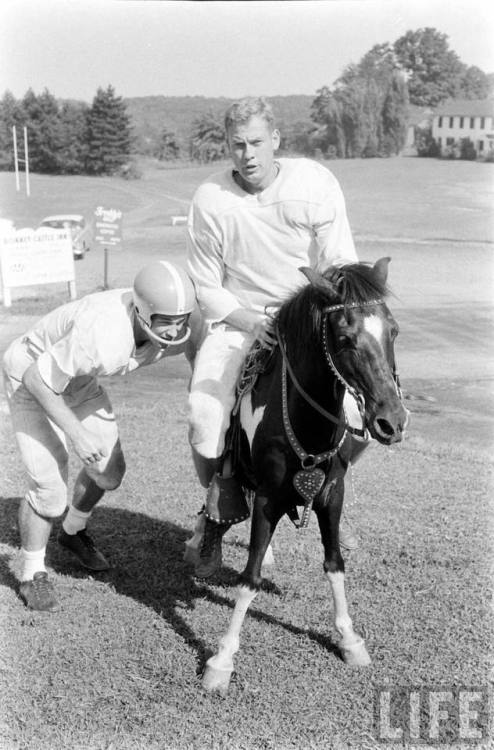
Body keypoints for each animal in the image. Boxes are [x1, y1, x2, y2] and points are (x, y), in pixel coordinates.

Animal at [203, 258, 408, 692]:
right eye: (345, 337)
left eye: (394, 330)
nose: (392, 422)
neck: (303, 417)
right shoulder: (268, 499)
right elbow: (249, 578)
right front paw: (222, 658)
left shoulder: (332, 495)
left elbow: (334, 564)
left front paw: (349, 639)